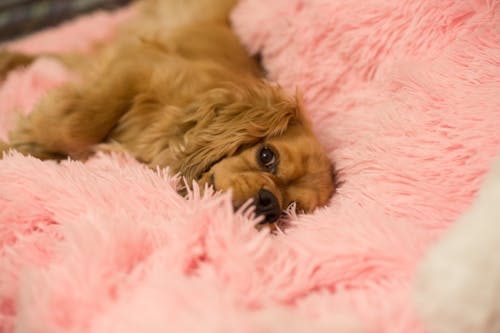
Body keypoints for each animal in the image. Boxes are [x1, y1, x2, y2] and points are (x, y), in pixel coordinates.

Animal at [0, 0, 336, 226]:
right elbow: (77, 126)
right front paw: (20, 144)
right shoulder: (138, 64)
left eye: (293, 208)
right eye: (267, 156)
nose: (270, 204)